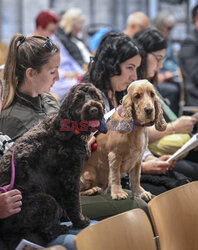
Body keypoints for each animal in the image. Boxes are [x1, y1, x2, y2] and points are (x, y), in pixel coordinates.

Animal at [0, 83, 106, 249]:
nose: (94, 109)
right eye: (78, 99)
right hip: (45, 201)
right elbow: (74, 203)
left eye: (95, 95)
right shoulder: (69, 177)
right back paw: (61, 228)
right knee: (47, 231)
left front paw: (67, 217)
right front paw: (80, 221)